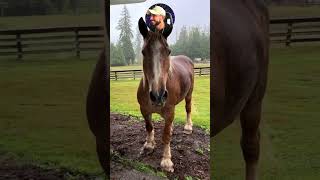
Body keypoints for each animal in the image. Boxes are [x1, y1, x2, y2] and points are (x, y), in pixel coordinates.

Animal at [137, 17, 194, 172]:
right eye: (143, 52)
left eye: (168, 51)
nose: (158, 96)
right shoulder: (144, 110)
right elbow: (149, 127)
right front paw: (149, 145)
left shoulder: (169, 111)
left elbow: (166, 135)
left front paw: (166, 160)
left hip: (189, 94)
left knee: (188, 108)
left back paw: (188, 127)